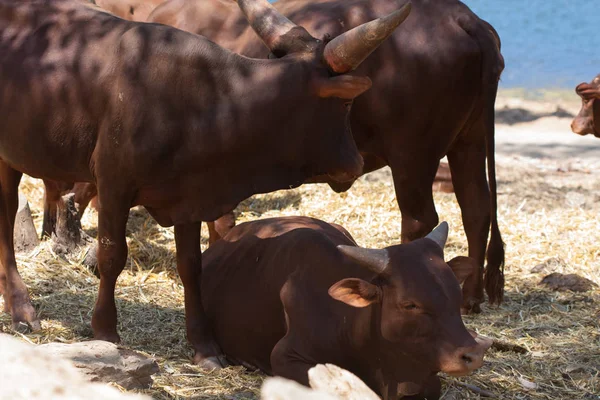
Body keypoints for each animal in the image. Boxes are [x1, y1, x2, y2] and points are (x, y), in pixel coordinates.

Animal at [0, 0, 412, 366]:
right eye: (346, 105)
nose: (356, 163)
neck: (208, 101)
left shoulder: (189, 197)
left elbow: (191, 265)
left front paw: (204, 346)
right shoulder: (114, 184)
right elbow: (112, 256)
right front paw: (105, 332)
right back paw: (22, 309)